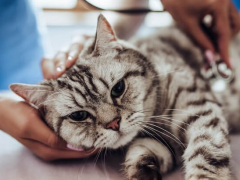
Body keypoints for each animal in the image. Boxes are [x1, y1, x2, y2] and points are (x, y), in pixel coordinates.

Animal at [10, 14, 240, 180]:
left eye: (118, 88)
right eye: (79, 116)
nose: (113, 124)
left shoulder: (200, 111)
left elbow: (205, 154)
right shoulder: (157, 141)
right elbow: (143, 153)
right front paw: (142, 171)